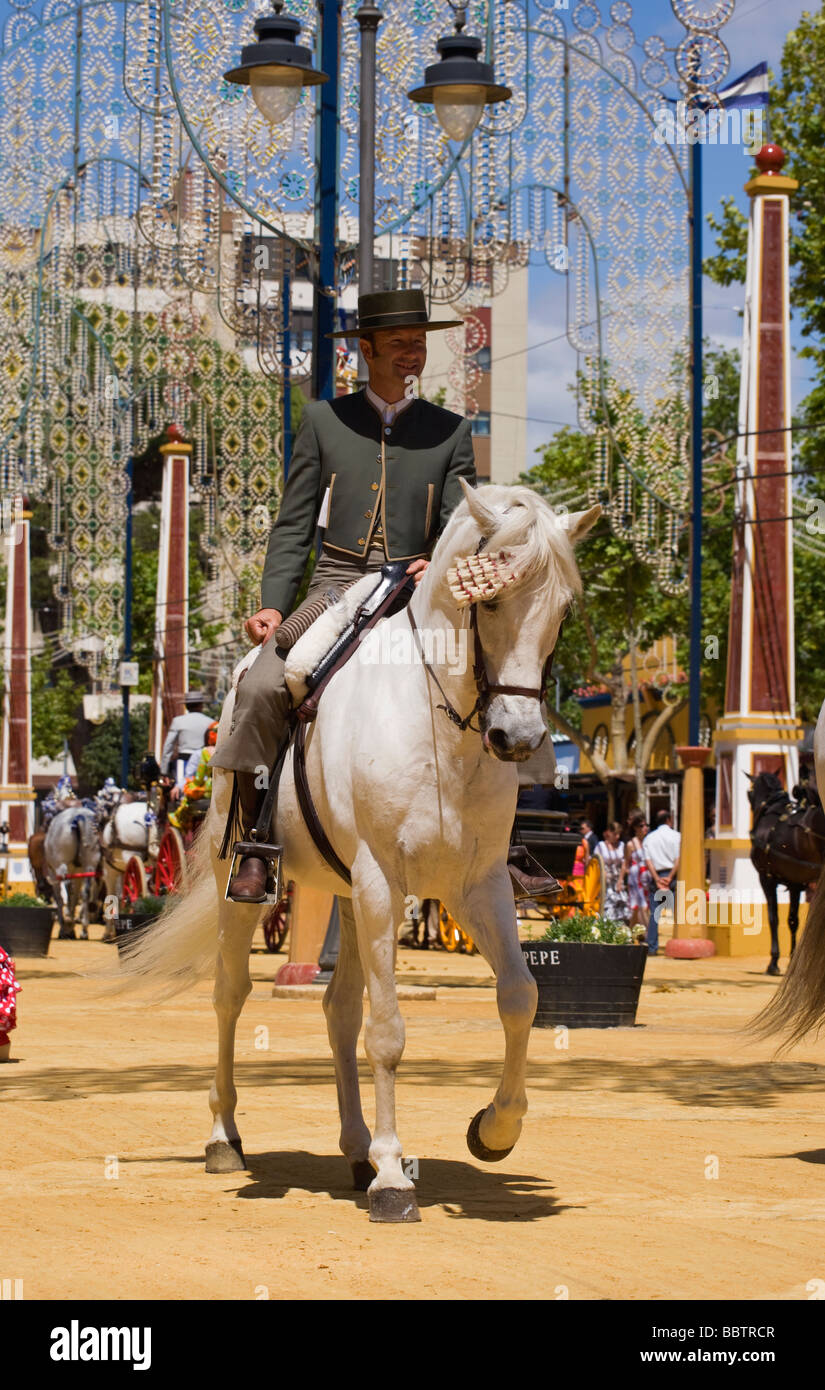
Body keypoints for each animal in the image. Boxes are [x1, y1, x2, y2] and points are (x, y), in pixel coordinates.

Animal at [43, 807, 102, 939]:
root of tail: (78, 816)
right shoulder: (78, 874)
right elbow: (75, 896)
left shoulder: (54, 874)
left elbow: (60, 898)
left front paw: (65, 926)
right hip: (89, 866)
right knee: (85, 893)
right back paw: (84, 930)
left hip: (61, 866)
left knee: (67, 889)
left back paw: (68, 924)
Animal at [115, 482, 600, 1221]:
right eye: (489, 601)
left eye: (562, 610)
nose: (516, 738)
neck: (442, 728)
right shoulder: (381, 882)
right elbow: (389, 1032)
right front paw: (394, 1179)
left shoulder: (478, 886)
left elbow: (520, 995)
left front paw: (493, 1129)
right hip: (248, 883)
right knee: (231, 995)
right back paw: (225, 1135)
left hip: (345, 891)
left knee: (338, 1010)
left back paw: (354, 1147)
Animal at [747, 770, 825, 975]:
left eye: (750, 791)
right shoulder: (795, 884)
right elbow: (793, 921)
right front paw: (792, 959)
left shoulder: (766, 878)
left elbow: (773, 918)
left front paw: (773, 961)